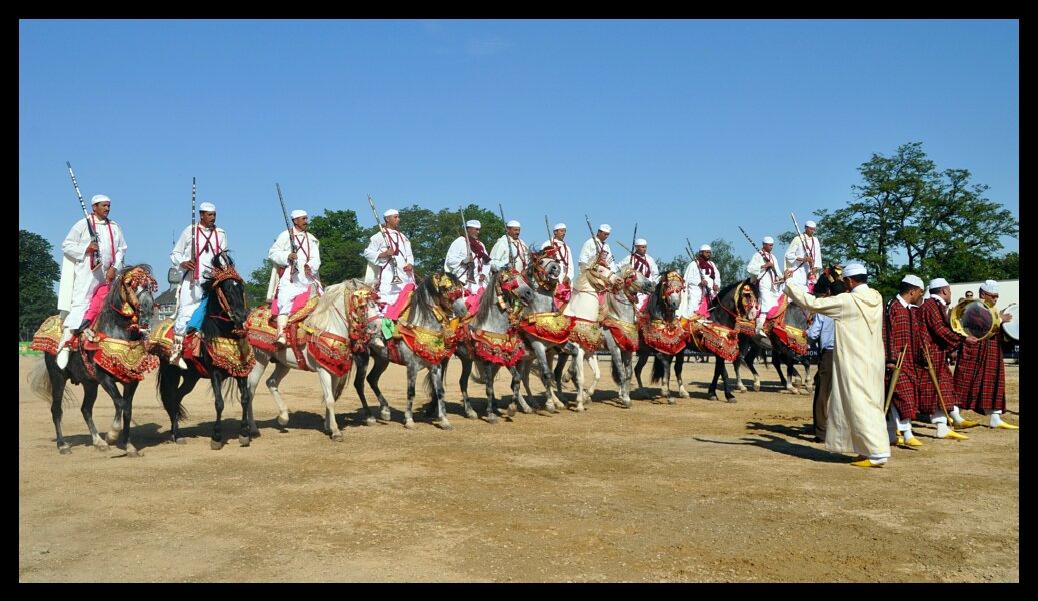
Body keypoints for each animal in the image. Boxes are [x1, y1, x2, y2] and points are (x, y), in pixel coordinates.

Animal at [30, 263, 158, 456]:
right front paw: (112, 435)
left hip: (89, 383)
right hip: (58, 377)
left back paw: (98, 441)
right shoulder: (105, 378)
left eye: (150, 286)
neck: (118, 332)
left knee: (86, 409)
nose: (147, 313)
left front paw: (128, 445)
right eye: (131, 284)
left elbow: (127, 408)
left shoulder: (131, 380)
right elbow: (120, 403)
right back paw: (62, 445)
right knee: (56, 409)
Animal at [155, 251, 253, 448]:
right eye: (226, 289)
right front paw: (216, 436)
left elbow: (245, 398)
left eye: (241, 288)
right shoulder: (215, 372)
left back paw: (176, 432)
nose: (241, 316)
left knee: (177, 398)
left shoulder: (242, 370)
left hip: (191, 377)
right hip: (171, 373)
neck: (224, 332)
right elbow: (219, 403)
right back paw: (176, 434)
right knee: (171, 397)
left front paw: (244, 433)